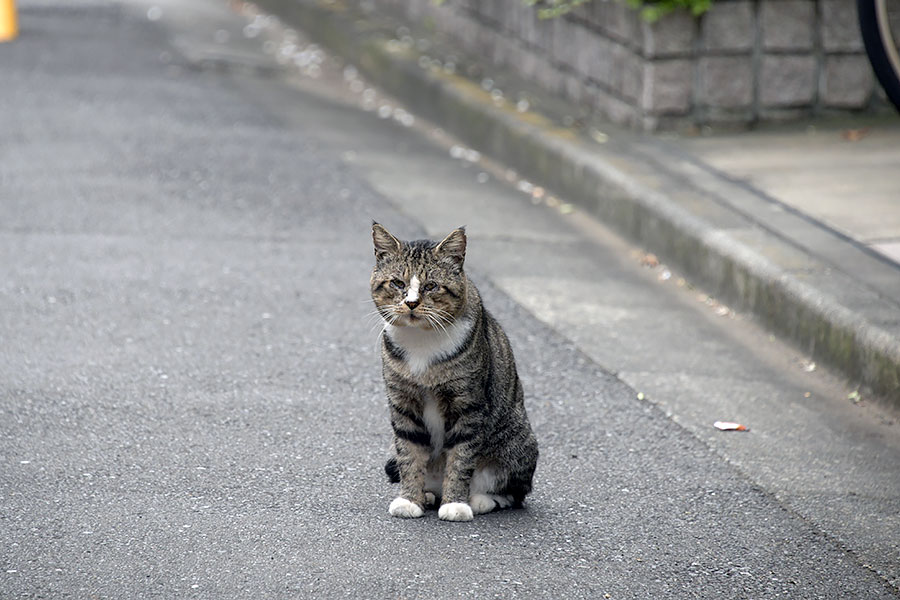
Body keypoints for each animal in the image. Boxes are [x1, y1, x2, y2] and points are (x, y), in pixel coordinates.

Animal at [370, 223, 536, 524]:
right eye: (398, 283)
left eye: (431, 286)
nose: (411, 303)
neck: (422, 341)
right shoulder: (403, 404)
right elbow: (409, 455)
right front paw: (409, 499)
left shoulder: (468, 406)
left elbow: (461, 458)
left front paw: (456, 504)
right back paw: (428, 494)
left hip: (517, 442)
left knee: (515, 492)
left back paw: (481, 499)